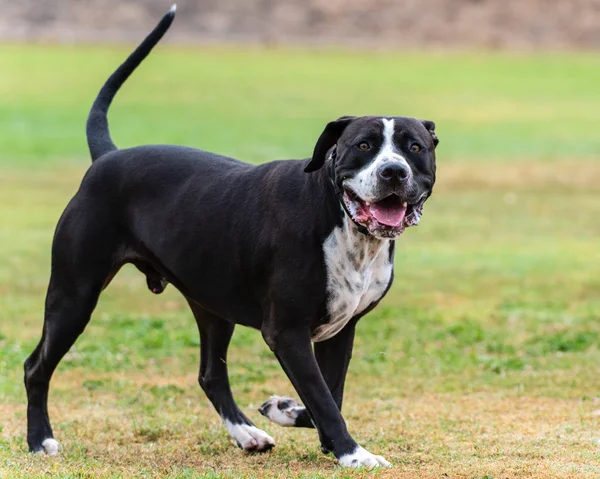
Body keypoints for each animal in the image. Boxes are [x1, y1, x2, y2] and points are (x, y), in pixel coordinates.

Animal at [23, 3, 438, 468]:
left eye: (415, 148)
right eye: (364, 145)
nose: (394, 172)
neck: (340, 218)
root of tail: (107, 157)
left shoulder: (340, 330)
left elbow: (328, 397)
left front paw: (291, 414)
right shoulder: (287, 331)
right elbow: (324, 399)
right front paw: (353, 454)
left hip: (211, 304)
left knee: (210, 374)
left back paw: (246, 434)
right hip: (74, 295)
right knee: (35, 366)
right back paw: (40, 440)